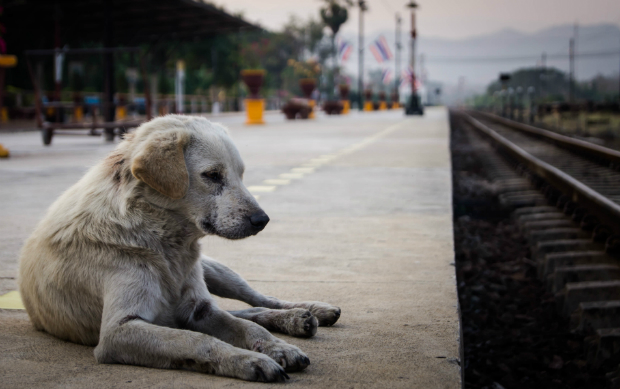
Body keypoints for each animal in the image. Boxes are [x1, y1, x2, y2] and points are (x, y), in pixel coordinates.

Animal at [17, 115, 342, 382]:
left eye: (240, 175)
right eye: (212, 175)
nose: (262, 220)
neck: (162, 242)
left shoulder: (199, 309)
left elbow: (249, 328)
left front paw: (276, 347)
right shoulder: (118, 331)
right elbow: (197, 340)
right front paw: (250, 360)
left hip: (216, 271)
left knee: (258, 300)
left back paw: (305, 312)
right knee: (245, 310)